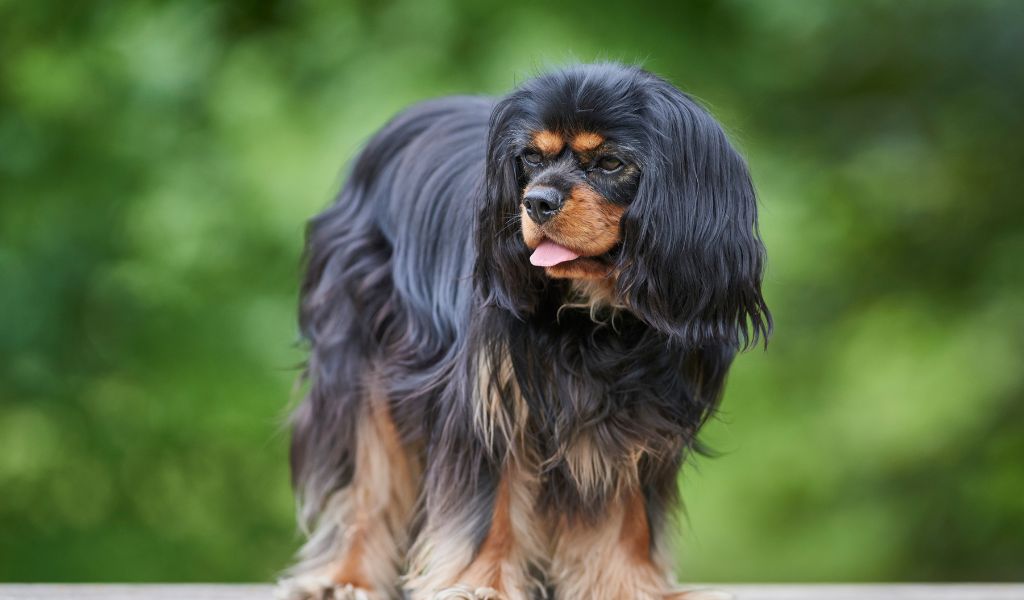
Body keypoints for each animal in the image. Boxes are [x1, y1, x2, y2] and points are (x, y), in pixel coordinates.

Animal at [276, 61, 770, 597]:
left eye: (611, 163)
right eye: (531, 157)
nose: (537, 202)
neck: (593, 312)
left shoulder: (645, 413)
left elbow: (630, 514)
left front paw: (627, 584)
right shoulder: (490, 401)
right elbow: (492, 505)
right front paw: (482, 583)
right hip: (363, 354)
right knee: (368, 481)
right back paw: (348, 575)